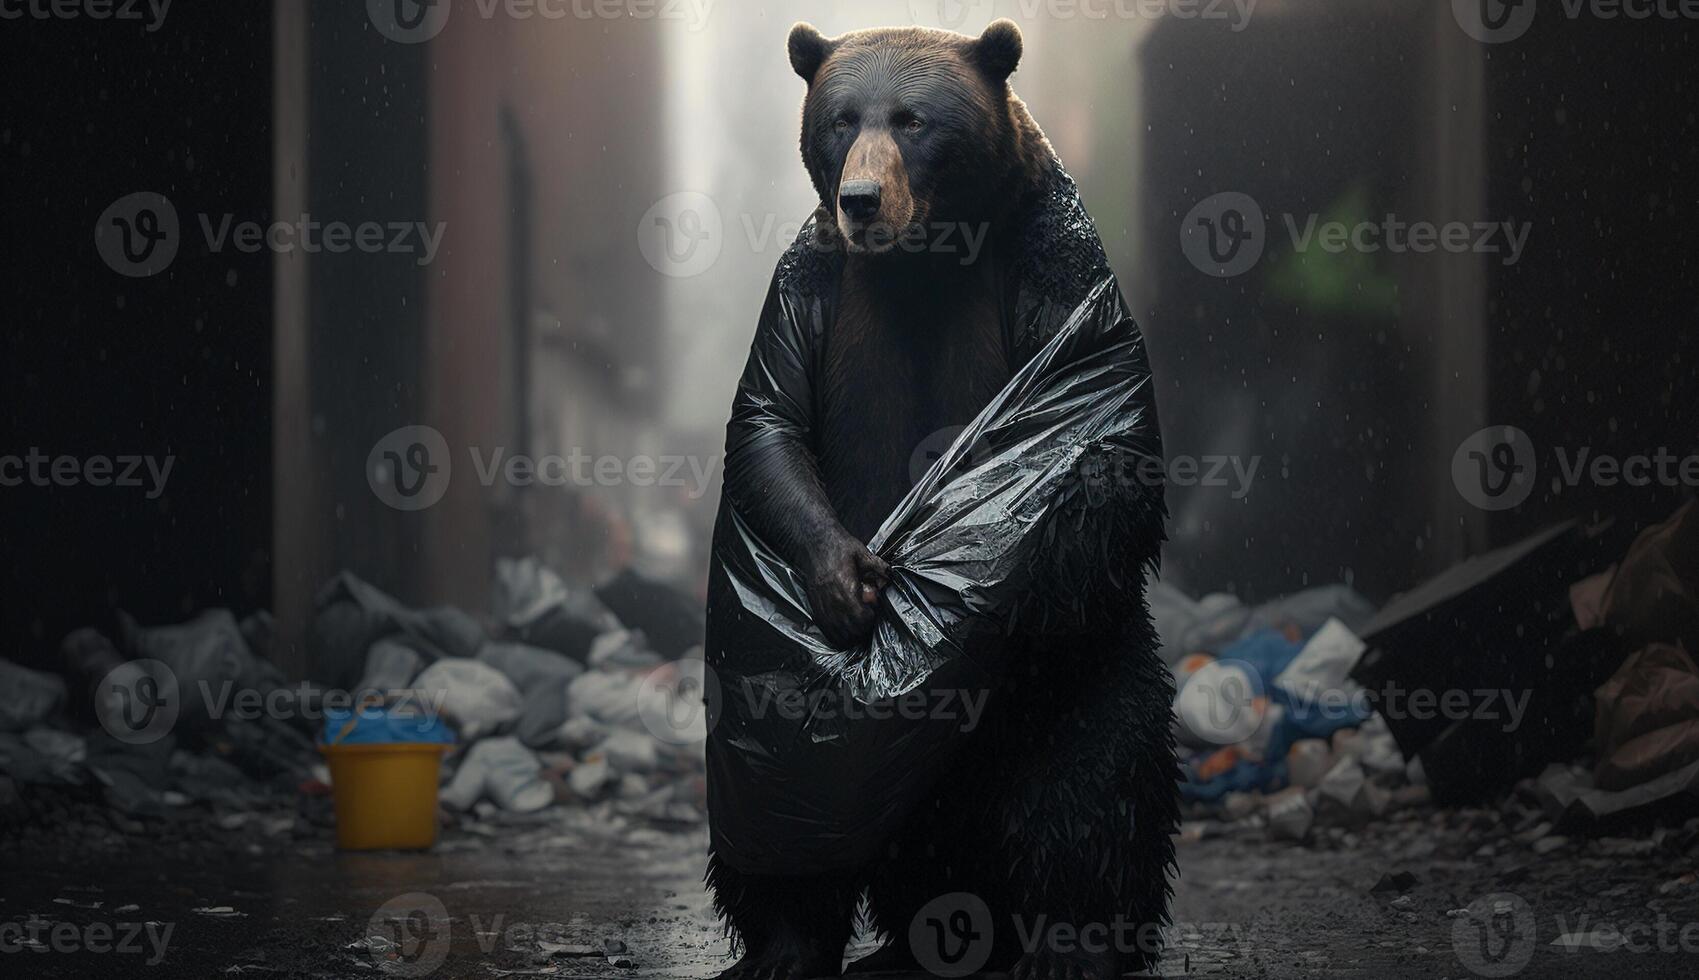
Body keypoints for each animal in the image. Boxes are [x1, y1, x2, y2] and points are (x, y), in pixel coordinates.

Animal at [703, 17, 1182, 978]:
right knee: (781, 802)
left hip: (1091, 676)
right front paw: (846, 579)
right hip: (782, 738)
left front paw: (990, 576)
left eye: (912, 119)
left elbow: (1097, 440)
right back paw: (804, 942)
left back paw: (1065, 946)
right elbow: (770, 421)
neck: (922, 262)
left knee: (1093, 794)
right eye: (841, 118)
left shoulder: (1051, 268)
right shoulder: (811, 286)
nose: (860, 200)